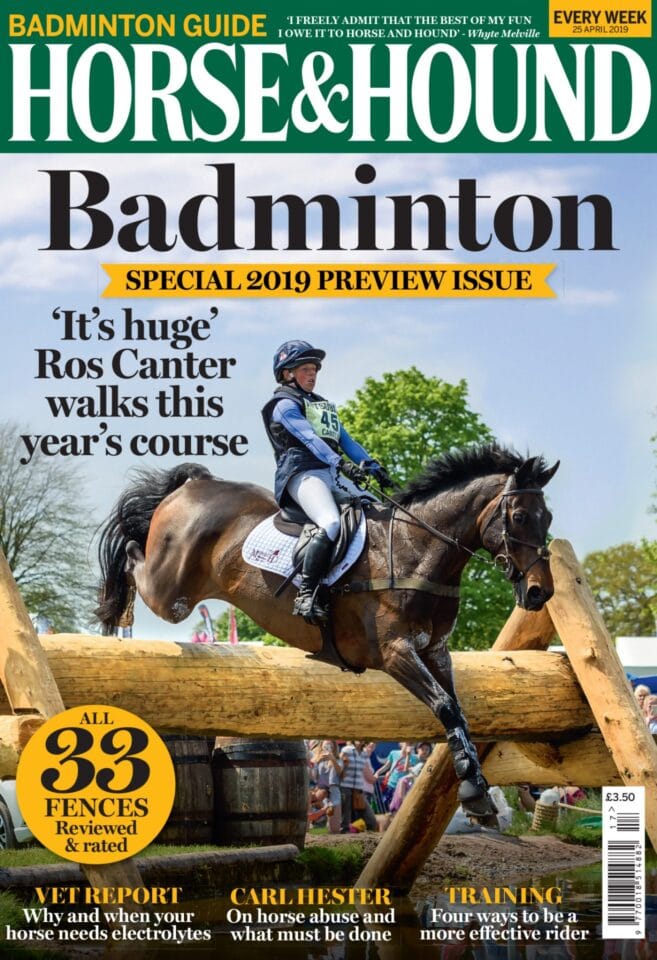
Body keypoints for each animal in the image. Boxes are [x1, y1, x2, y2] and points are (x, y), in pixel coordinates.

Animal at [96, 444, 559, 816]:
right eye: (519, 516)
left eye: (548, 516)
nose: (541, 592)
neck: (417, 550)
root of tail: (193, 485)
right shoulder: (395, 651)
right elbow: (444, 705)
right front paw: (474, 787)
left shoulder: (435, 652)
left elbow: (457, 711)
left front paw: (474, 787)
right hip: (169, 591)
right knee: (134, 555)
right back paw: (115, 609)